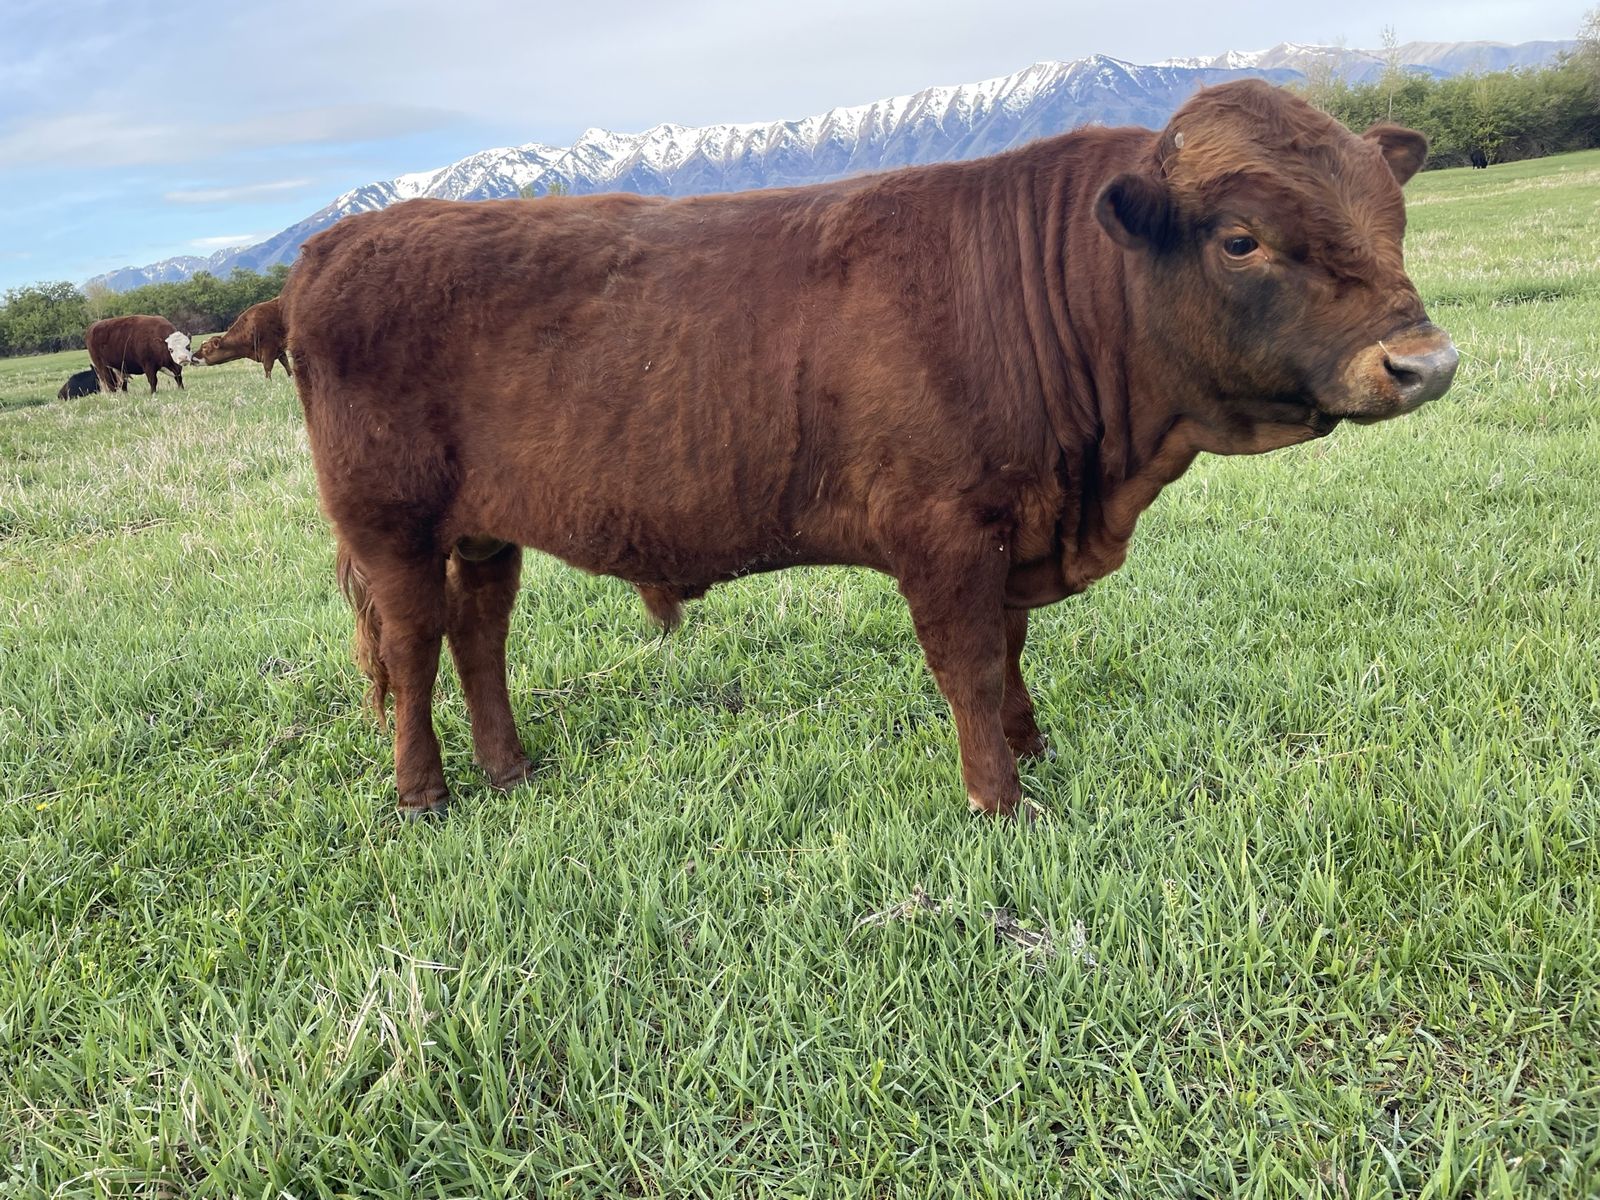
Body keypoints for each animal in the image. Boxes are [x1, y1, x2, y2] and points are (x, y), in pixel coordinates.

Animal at [281, 79, 1457, 821]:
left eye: (1390, 214)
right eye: (1240, 239)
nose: (1426, 362)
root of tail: (337, 244)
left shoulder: (1012, 523)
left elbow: (1010, 653)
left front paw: (1034, 752)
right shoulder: (942, 531)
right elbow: (967, 664)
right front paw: (1000, 801)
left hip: (485, 532)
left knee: (479, 638)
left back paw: (512, 770)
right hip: (389, 525)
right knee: (413, 649)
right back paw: (425, 795)